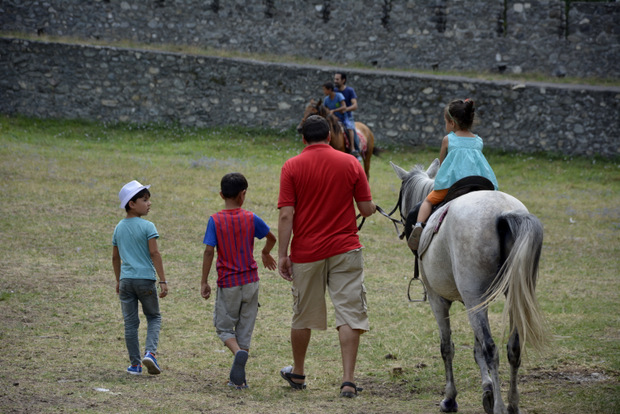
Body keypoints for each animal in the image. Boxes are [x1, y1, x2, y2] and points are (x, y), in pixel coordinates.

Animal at [392, 162, 548, 414]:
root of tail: (503, 212)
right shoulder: (472, 302)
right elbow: (476, 350)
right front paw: (487, 391)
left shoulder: (439, 300)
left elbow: (447, 347)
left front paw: (450, 398)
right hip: (513, 295)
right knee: (513, 347)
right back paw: (512, 404)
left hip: (474, 298)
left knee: (491, 349)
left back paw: (500, 407)